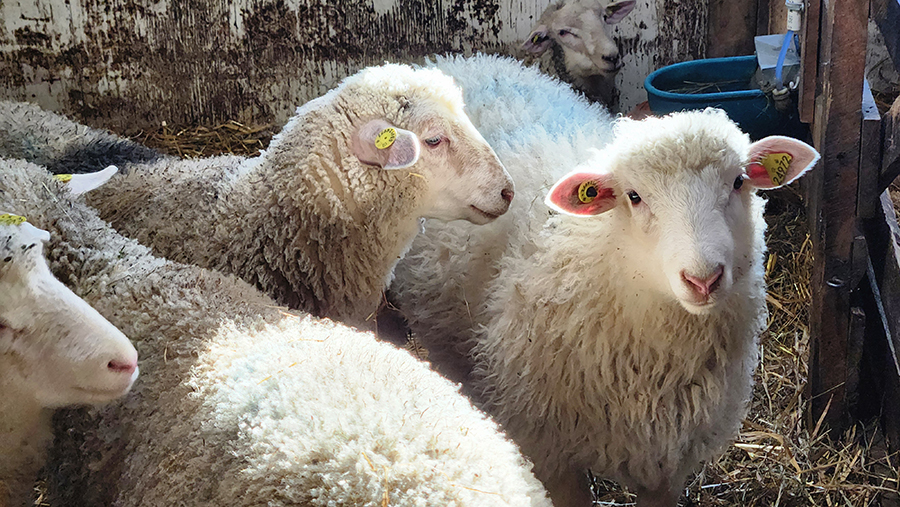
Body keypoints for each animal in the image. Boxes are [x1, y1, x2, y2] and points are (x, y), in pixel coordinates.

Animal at [391, 56, 820, 506]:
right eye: (634, 196)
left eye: (738, 182)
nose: (703, 279)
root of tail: (463, 60)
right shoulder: (549, 450)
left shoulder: (669, 459)